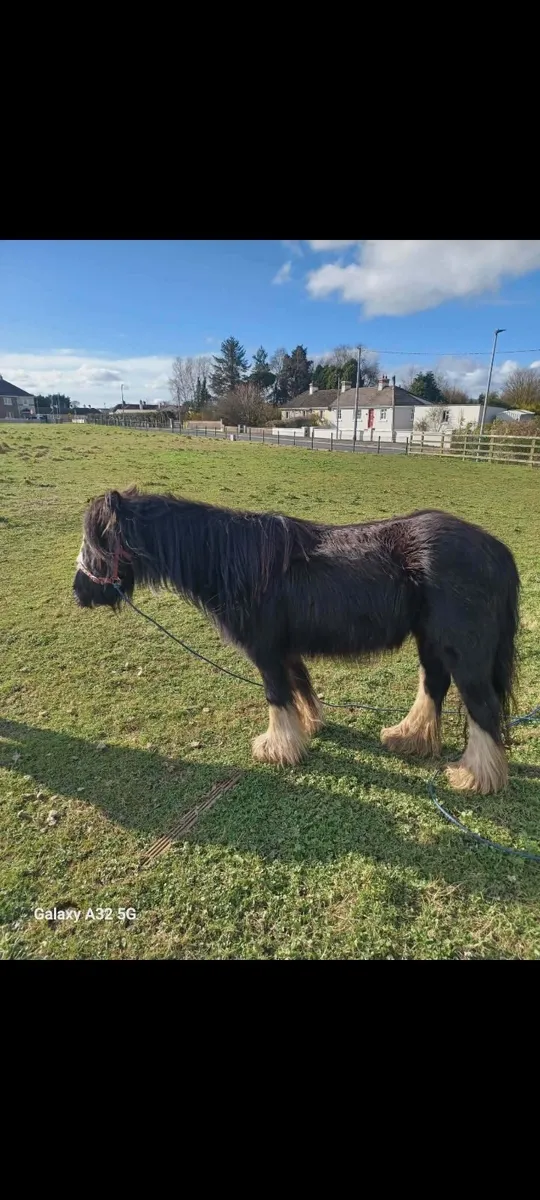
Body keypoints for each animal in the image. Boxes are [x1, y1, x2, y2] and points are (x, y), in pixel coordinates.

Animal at [73, 487, 520, 794]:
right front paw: (308, 726)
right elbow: (300, 687)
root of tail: (497, 549)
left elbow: (276, 696)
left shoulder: (266, 652)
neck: (232, 561)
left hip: (464, 652)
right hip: (431, 642)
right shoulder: (286, 650)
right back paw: (409, 738)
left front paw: (277, 749)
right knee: (434, 685)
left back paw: (474, 777)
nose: (79, 593)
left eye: (96, 544)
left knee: (482, 706)